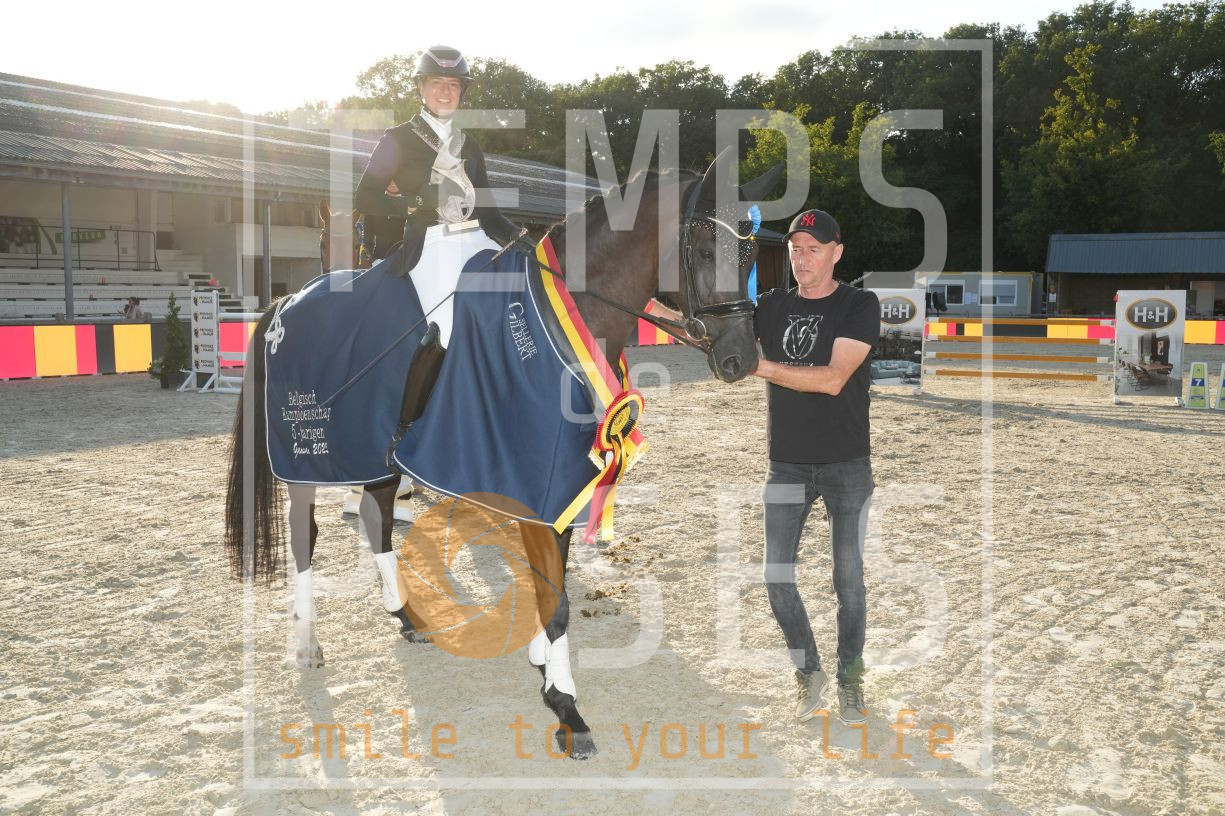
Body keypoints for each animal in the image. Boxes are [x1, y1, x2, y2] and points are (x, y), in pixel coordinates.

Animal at [225, 149, 784, 759]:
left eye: (750, 253)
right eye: (705, 252)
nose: (741, 358)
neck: (567, 320)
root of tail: (290, 299)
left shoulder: (562, 477)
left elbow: (550, 581)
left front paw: (544, 668)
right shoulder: (534, 473)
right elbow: (555, 598)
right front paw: (566, 706)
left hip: (375, 456)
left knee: (377, 518)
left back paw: (405, 616)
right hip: (307, 453)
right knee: (306, 537)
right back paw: (306, 642)